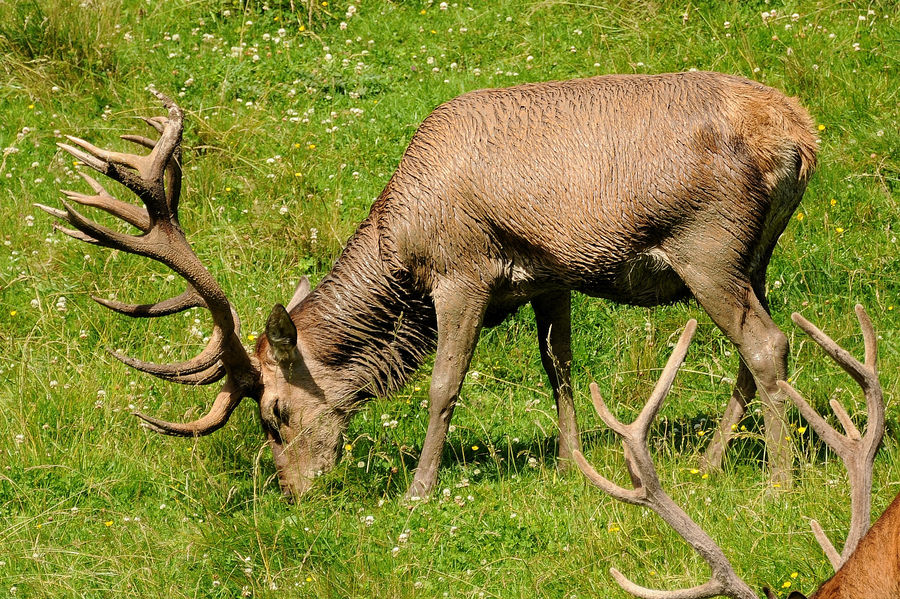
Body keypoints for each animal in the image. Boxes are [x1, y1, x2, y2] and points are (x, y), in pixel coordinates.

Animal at [40, 71, 816, 502]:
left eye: (275, 414)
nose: (294, 491)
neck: (401, 254)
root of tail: (802, 138)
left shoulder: (463, 270)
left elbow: (445, 384)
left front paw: (419, 487)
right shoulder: (550, 275)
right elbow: (560, 369)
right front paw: (574, 464)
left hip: (705, 247)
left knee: (765, 343)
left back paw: (779, 482)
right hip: (754, 256)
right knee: (757, 349)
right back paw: (713, 462)